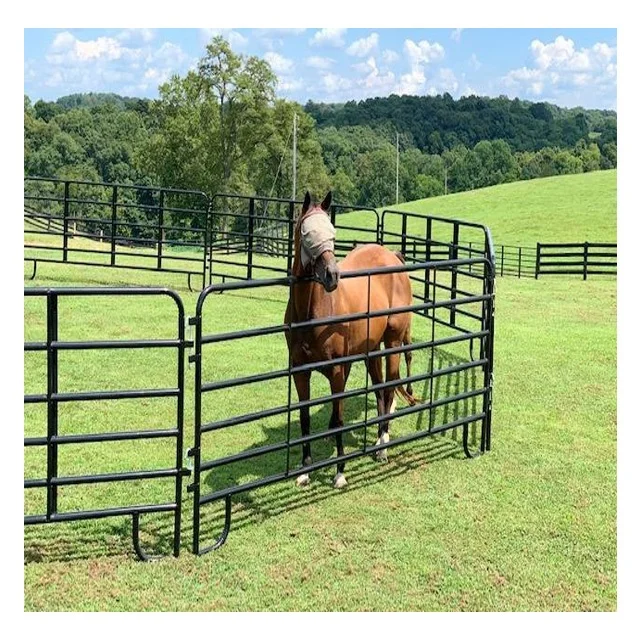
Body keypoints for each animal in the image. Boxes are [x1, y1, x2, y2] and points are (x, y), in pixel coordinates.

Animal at [284, 190, 419, 489]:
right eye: (307, 234)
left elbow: (340, 417)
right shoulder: (300, 371)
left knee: (389, 388)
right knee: (379, 389)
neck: (314, 311)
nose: (332, 276)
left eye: (332, 232)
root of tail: (392, 256)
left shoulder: (337, 370)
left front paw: (339, 472)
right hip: (372, 350)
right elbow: (305, 419)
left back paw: (382, 445)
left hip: (393, 343)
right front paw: (305, 471)